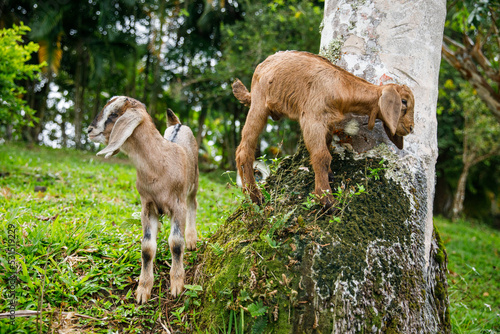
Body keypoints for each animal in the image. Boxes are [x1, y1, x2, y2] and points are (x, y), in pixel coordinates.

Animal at [88, 96, 199, 302]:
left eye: (113, 114)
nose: (90, 130)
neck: (160, 165)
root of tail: (178, 124)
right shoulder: (147, 206)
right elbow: (147, 248)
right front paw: (143, 290)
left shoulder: (178, 205)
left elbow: (176, 243)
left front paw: (177, 285)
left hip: (194, 182)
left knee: (193, 204)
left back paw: (191, 239)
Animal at [233, 50, 414, 209]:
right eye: (404, 101)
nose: (411, 128)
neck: (342, 85)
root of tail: (262, 66)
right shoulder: (312, 117)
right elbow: (322, 156)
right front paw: (326, 200)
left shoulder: (328, 121)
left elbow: (327, 146)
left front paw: (329, 175)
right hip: (259, 105)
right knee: (244, 150)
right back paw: (254, 195)